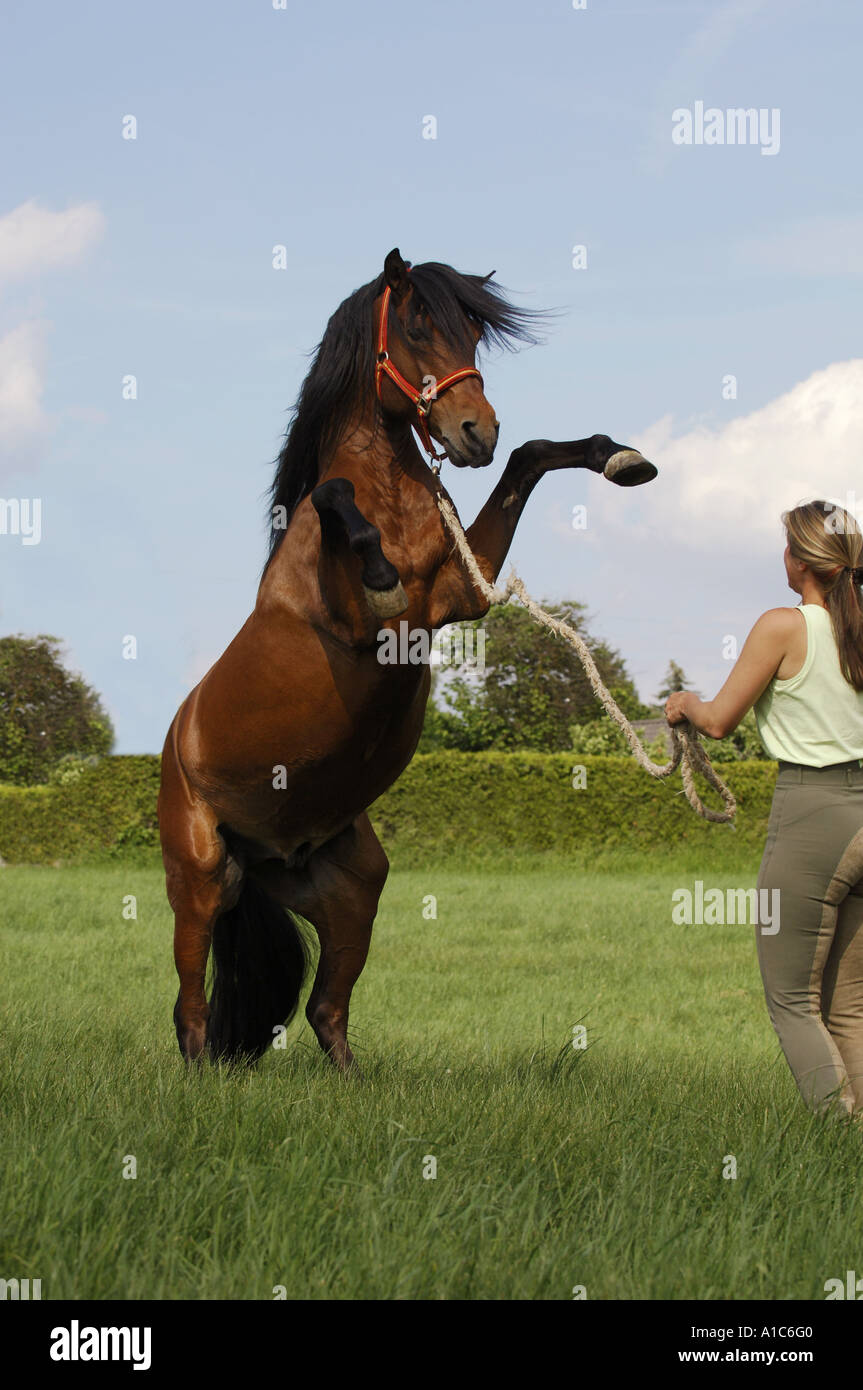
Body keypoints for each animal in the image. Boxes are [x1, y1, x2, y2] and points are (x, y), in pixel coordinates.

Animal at [157, 248, 657, 1072]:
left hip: (353, 888)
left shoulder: (463, 594)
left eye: (475, 335)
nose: (474, 431)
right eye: (419, 327)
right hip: (199, 876)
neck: (389, 498)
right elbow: (333, 496)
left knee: (326, 1009)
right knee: (191, 1011)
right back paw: (201, 1076)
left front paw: (621, 458)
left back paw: (354, 1085)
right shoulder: (361, 623)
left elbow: (531, 458)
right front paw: (381, 570)